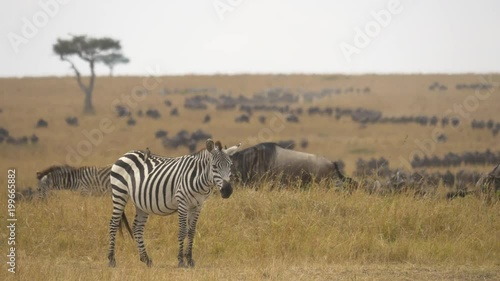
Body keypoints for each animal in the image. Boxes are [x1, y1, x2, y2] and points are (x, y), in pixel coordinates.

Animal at [108, 138, 241, 266]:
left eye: (230, 165)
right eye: (214, 166)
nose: (227, 190)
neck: (199, 179)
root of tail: (127, 154)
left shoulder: (197, 205)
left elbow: (191, 232)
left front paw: (190, 259)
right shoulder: (182, 203)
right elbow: (182, 231)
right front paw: (181, 260)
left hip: (141, 203)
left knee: (137, 228)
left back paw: (146, 259)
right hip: (119, 193)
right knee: (113, 224)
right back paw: (111, 260)